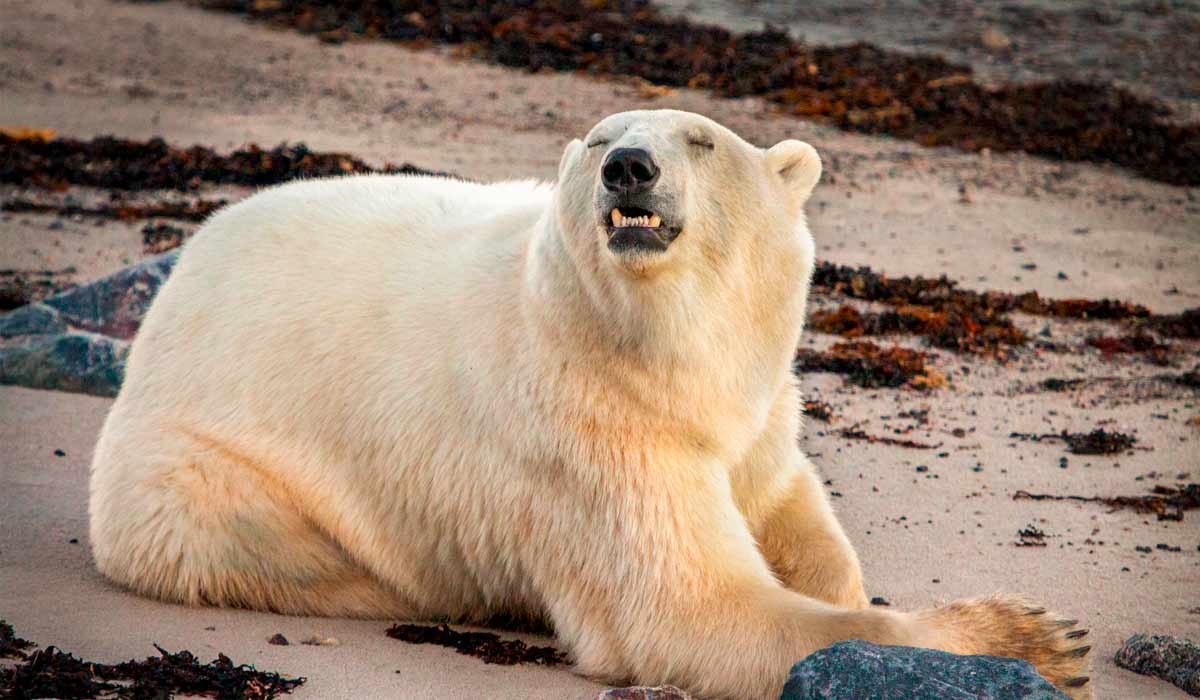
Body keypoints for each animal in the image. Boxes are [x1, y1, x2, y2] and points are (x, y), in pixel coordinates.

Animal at [88, 109, 1094, 696]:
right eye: (603, 138)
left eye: (701, 140)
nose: (631, 168)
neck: (658, 353)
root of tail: (181, 271)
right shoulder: (594, 433)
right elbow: (691, 608)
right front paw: (1040, 638)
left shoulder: (758, 409)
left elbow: (786, 504)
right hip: (202, 470)